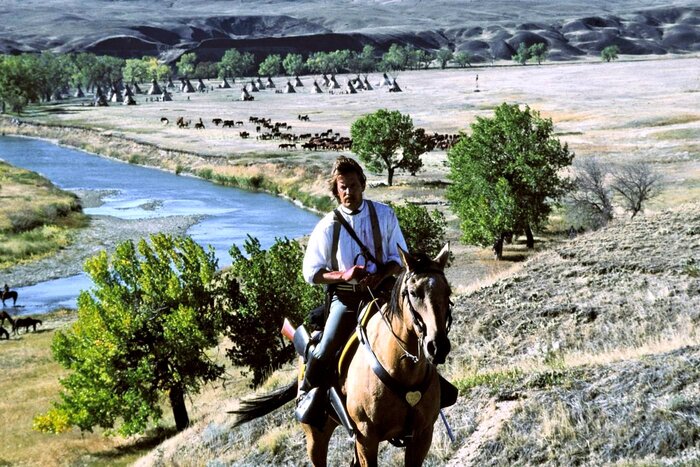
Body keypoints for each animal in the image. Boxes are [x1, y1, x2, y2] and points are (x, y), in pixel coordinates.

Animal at [231, 245, 454, 467]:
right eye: (414, 293)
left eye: (448, 291)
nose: (438, 347)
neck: (401, 369)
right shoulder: (366, 438)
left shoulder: (422, 435)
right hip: (315, 437)